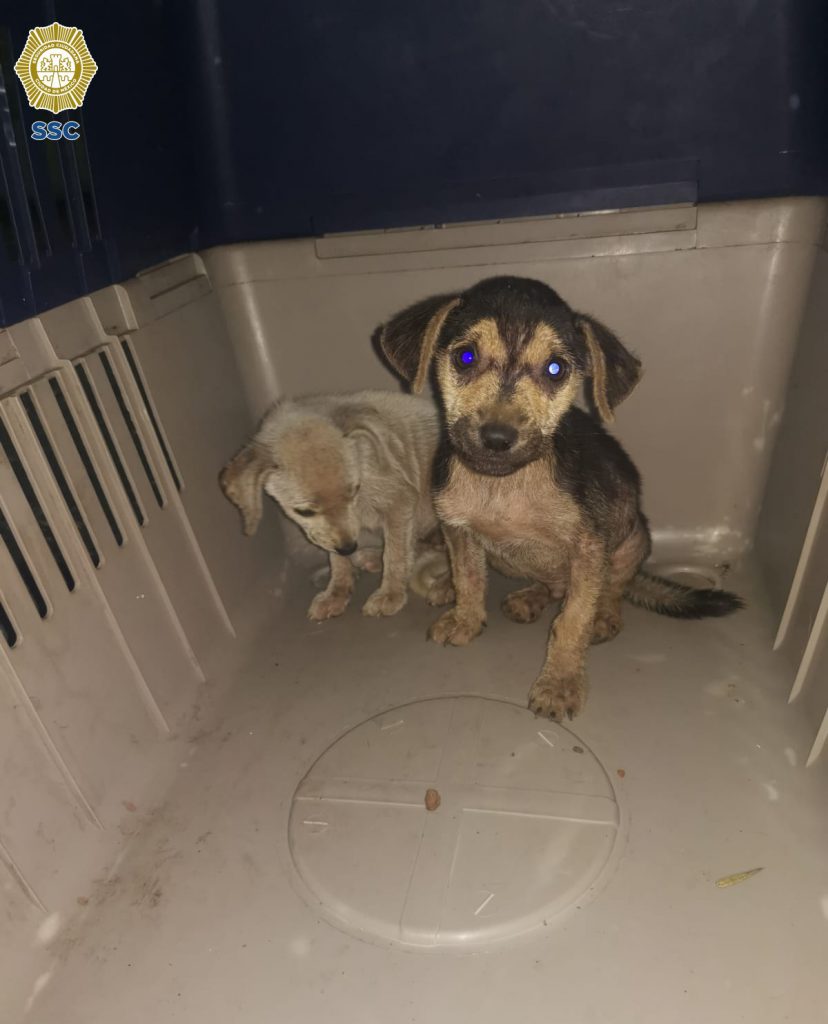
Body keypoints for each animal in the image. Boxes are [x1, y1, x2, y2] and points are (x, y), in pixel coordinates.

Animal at [220, 389, 448, 614]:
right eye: (305, 511)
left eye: (354, 491)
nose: (349, 548)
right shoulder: (333, 535)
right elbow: (338, 561)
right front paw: (336, 592)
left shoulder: (400, 502)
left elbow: (396, 555)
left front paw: (390, 594)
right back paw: (371, 557)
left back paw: (443, 587)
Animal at [378, 272, 741, 720]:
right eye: (465, 357)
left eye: (555, 369)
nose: (497, 438)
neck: (504, 484)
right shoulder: (457, 529)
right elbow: (469, 577)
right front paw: (465, 618)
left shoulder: (589, 547)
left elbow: (572, 620)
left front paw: (560, 684)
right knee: (549, 586)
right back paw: (517, 596)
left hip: (631, 542)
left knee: (610, 591)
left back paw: (604, 617)